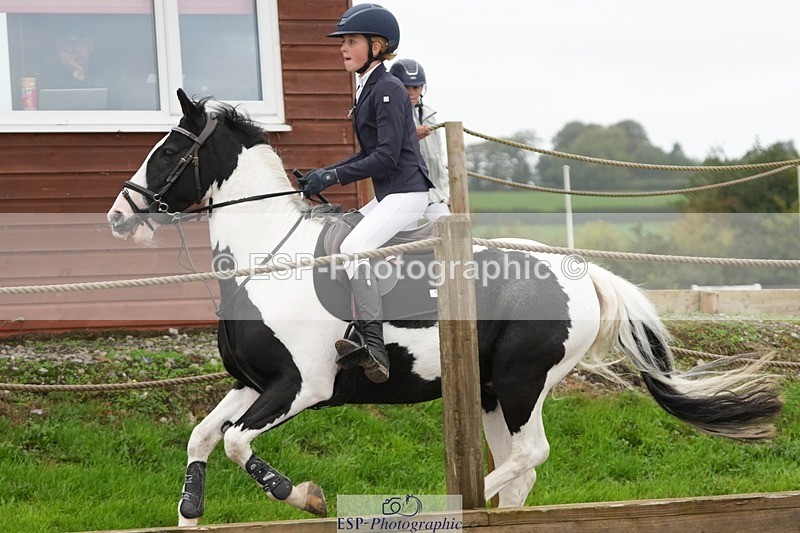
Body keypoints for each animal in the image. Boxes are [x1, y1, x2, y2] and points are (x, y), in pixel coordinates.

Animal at [106, 89, 782, 526]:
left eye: (168, 152)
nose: (117, 217)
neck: (269, 257)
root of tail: (582, 270)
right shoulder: (255, 383)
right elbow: (202, 437)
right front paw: (190, 512)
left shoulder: (303, 385)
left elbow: (237, 446)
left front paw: (308, 497)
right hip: (490, 390)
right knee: (521, 468)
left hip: (522, 380)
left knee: (529, 456)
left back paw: (449, 503)